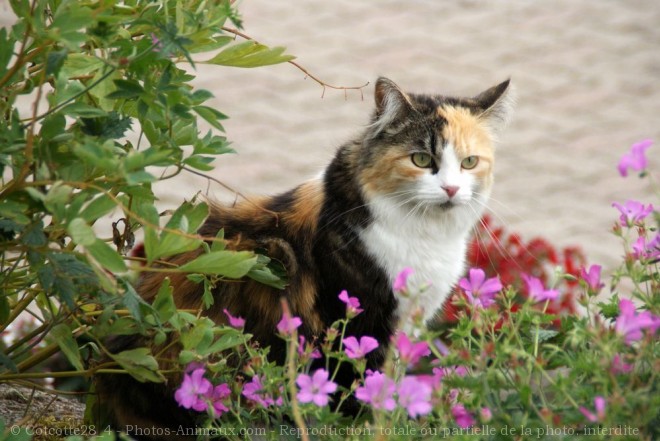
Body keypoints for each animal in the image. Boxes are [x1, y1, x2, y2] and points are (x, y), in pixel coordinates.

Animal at [95, 76, 512, 436]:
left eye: (470, 162)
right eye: (422, 160)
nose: (452, 189)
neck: (426, 235)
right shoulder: (360, 324)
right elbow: (363, 398)